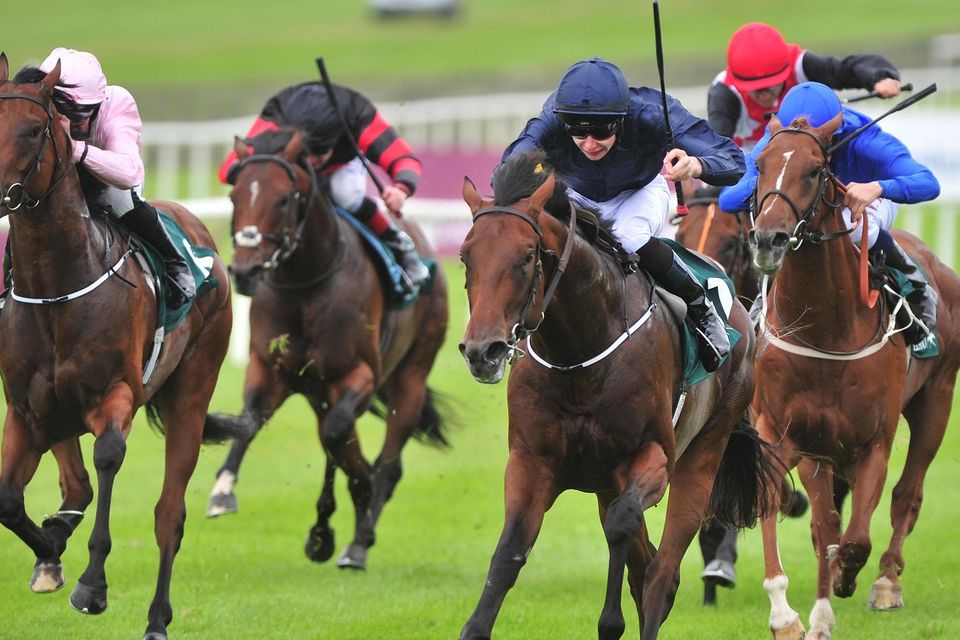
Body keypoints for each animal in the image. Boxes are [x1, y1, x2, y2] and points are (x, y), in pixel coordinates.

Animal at [0, 56, 236, 640]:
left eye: (34, 129)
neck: (56, 285)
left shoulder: (116, 394)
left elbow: (107, 459)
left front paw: (92, 584)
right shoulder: (25, 408)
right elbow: (10, 502)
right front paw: (50, 548)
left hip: (192, 391)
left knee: (169, 514)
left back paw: (156, 618)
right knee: (75, 485)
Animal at [205, 127, 446, 568]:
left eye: (284, 199)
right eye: (234, 197)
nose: (246, 271)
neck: (306, 283)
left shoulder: (357, 373)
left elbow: (341, 439)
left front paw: (361, 494)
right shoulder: (270, 368)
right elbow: (249, 421)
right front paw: (223, 491)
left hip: (412, 374)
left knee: (387, 460)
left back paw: (357, 539)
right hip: (321, 391)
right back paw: (325, 528)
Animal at [454, 151, 776, 640]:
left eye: (527, 256)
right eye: (465, 256)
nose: (482, 351)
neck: (579, 358)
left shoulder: (652, 457)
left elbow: (622, 529)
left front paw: (610, 621)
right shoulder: (533, 460)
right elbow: (510, 551)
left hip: (704, 450)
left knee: (662, 574)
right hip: (606, 480)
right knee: (647, 567)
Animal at [752, 112, 960, 636]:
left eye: (814, 169)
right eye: (760, 164)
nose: (768, 239)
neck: (826, 328)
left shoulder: (874, 442)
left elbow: (856, 539)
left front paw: (846, 580)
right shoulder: (788, 433)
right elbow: (809, 518)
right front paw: (790, 613)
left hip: (937, 401)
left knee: (907, 495)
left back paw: (886, 581)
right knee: (826, 520)